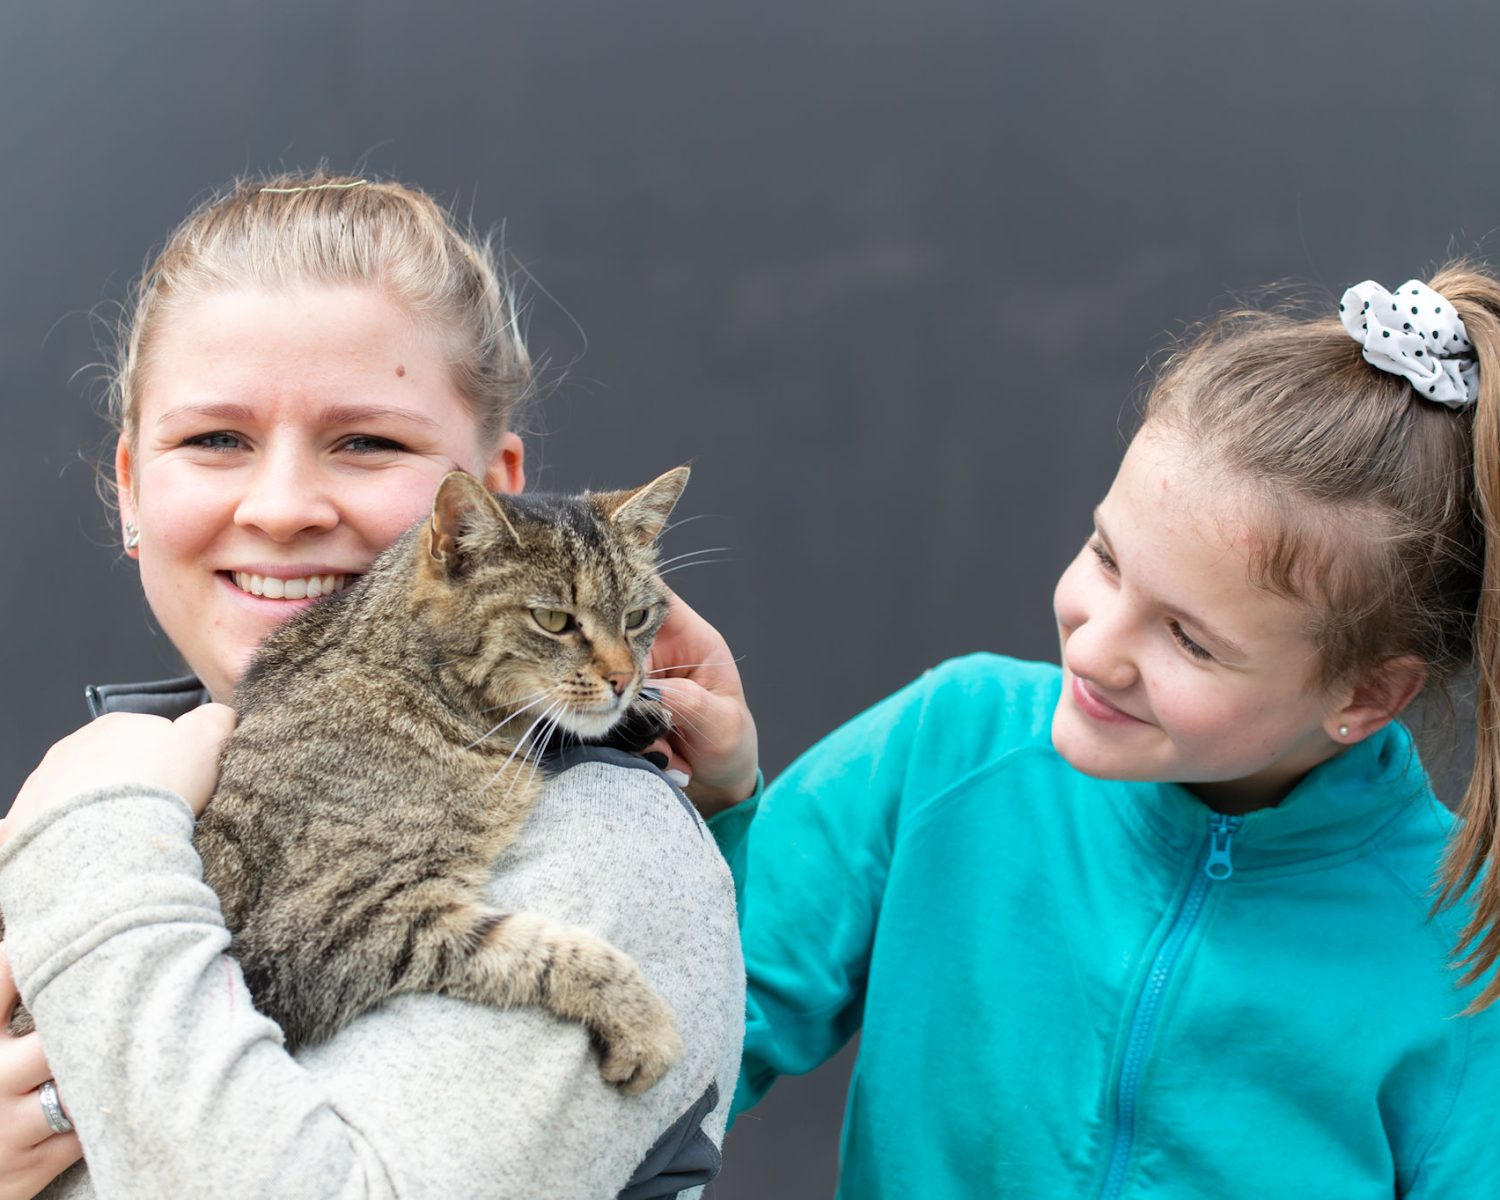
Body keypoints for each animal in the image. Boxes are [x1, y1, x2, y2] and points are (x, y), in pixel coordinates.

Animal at [8, 468, 687, 1098]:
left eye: (638, 617)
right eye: (553, 620)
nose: (625, 679)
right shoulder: (331, 928)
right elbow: (536, 948)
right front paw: (640, 1017)